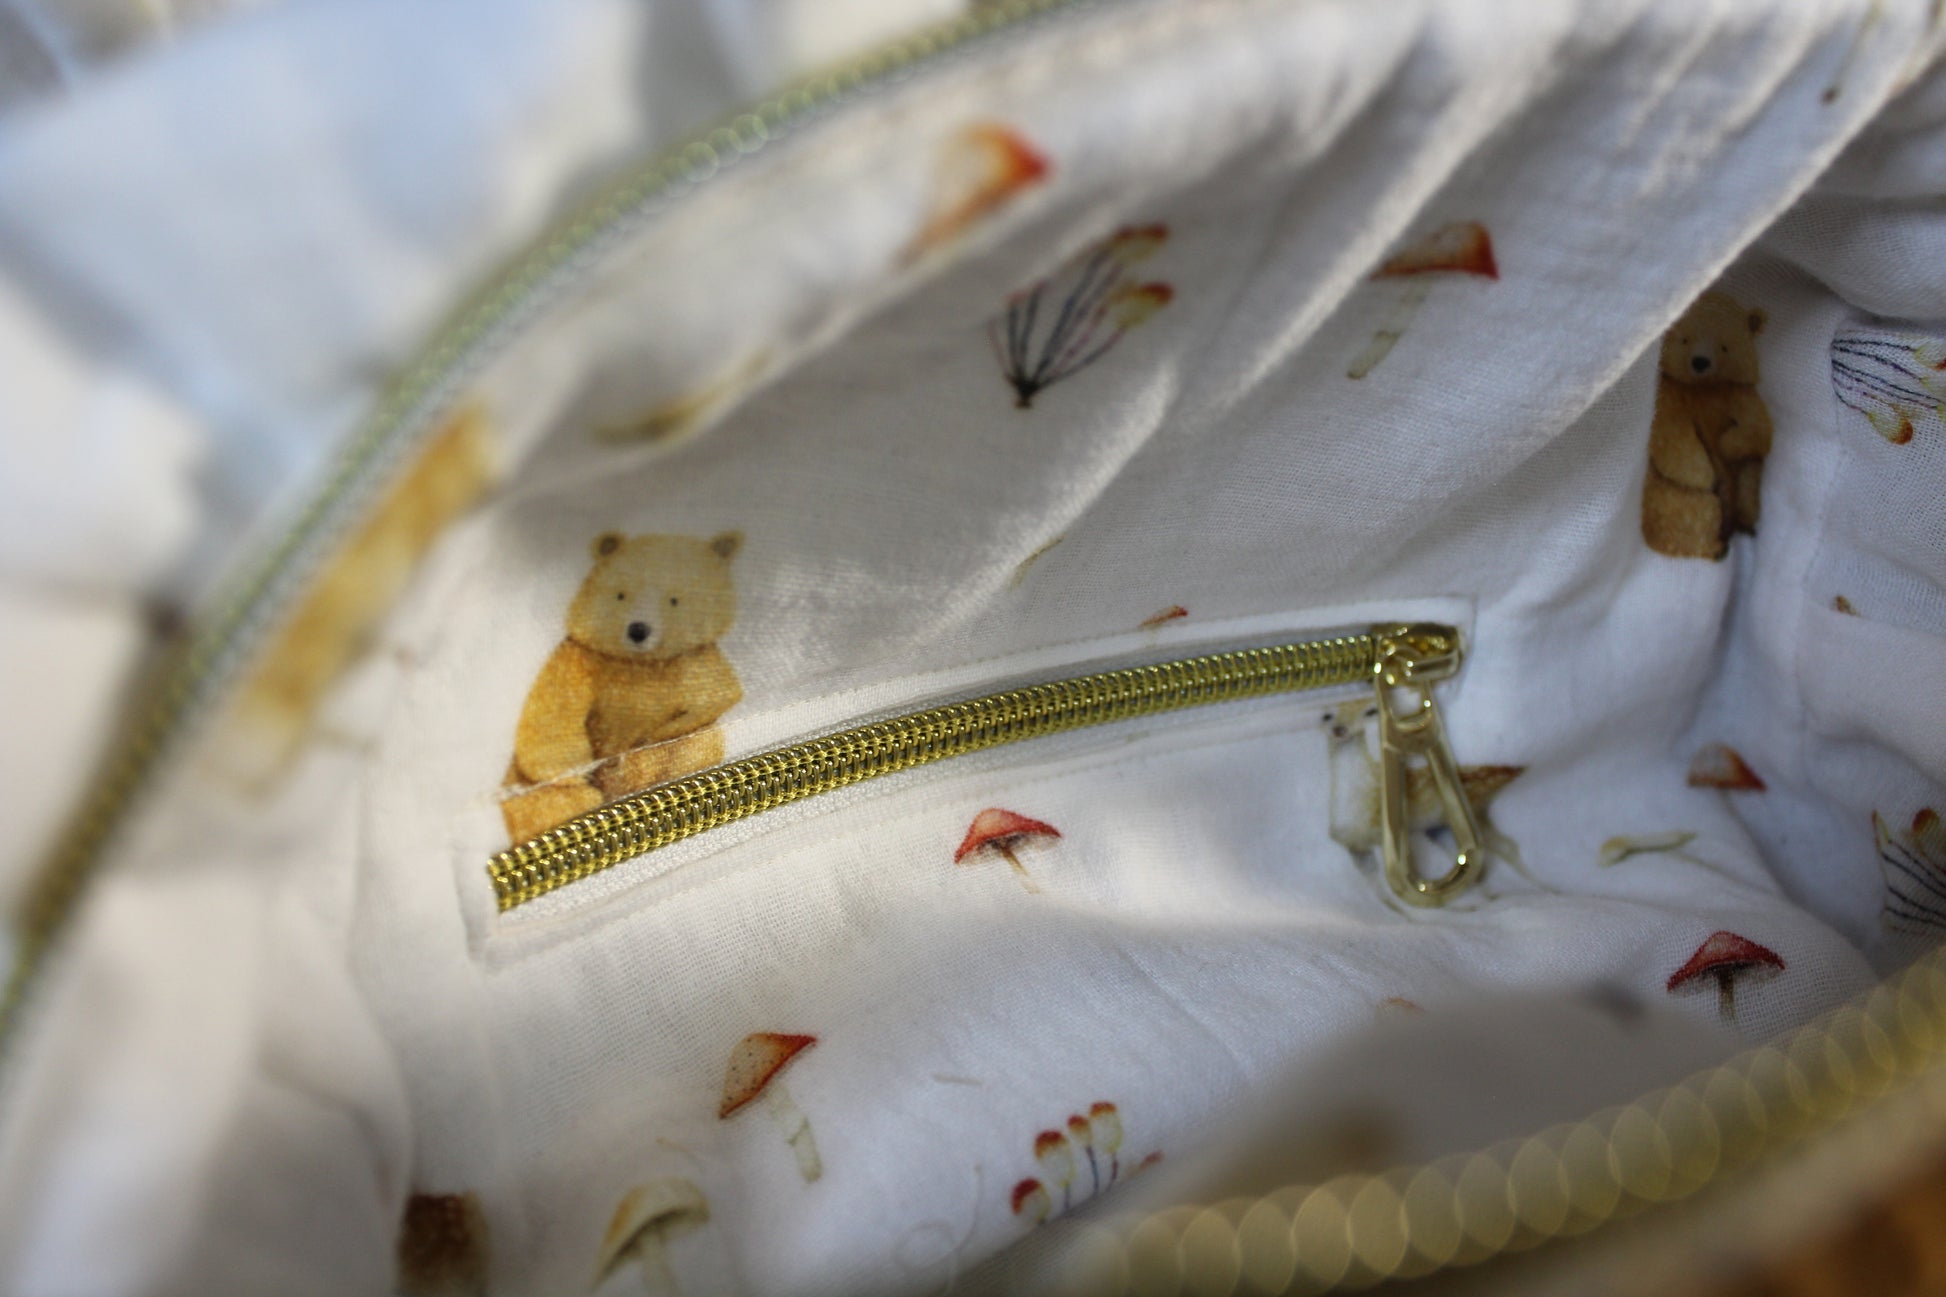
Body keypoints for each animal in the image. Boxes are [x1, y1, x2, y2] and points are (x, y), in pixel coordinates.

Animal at [500, 531, 743, 845]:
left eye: (674, 599)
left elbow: (717, 698)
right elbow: (553, 717)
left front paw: (644, 748)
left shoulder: (694, 662)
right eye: (620, 594)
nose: (638, 629)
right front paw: (583, 771)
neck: (640, 663)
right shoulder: (581, 662)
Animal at [1641, 291, 1774, 560]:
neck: (1704, 388)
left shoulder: (1736, 394)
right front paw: (1704, 474)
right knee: (1693, 511)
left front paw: (1727, 444)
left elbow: (1757, 429)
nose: (1700, 361)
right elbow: (1672, 436)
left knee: (1747, 488)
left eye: (1725, 346)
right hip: (1667, 496)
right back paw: (1716, 544)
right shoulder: (1672, 397)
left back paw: (1742, 525)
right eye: (1684, 340)